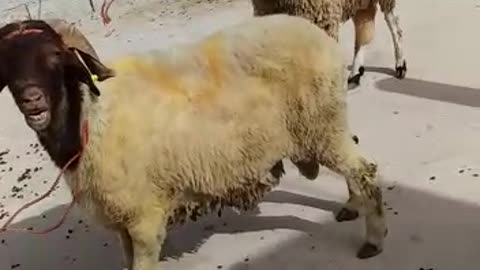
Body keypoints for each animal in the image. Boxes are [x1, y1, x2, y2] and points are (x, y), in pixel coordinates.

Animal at [0, 14, 386, 270]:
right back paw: (352, 207)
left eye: (55, 56)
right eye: (7, 65)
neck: (90, 117)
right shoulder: (123, 222)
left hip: (321, 126)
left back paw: (374, 240)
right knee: (355, 156)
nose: (32, 100)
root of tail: (320, 37)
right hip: (327, 127)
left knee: (364, 170)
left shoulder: (144, 219)